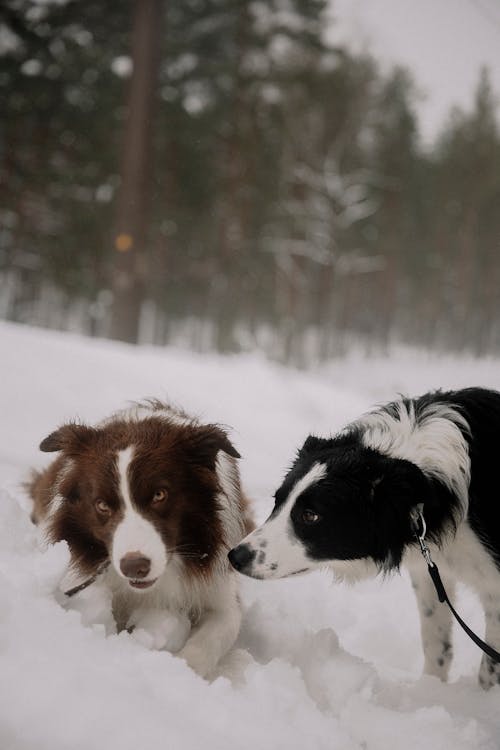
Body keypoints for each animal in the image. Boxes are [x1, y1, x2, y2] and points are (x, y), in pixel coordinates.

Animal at [29, 402, 252, 680]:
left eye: (159, 495)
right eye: (102, 505)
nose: (134, 567)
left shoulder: (219, 589)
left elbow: (218, 629)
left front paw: (182, 672)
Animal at [229, 390, 500, 692]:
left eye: (310, 515)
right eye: (278, 500)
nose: (236, 556)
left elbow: (489, 667)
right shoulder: (430, 571)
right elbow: (436, 643)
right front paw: (429, 690)